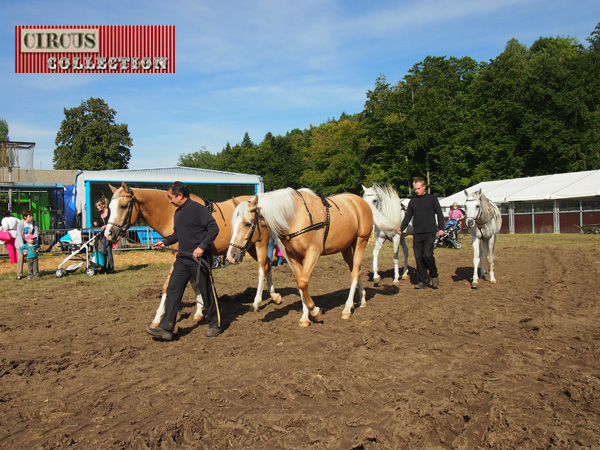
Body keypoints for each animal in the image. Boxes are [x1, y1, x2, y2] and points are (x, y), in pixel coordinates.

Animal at [103, 183, 282, 324]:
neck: (172, 213)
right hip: (246, 246)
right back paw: (274, 295)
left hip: (260, 244)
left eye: (123, 206)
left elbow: (168, 285)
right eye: (109, 208)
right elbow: (194, 283)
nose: (108, 233)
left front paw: (157, 318)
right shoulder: (188, 256)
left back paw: (257, 302)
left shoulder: (180, 256)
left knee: (262, 269)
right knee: (267, 264)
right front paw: (198, 312)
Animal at [226, 187, 372, 326]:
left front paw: (315, 311)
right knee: (356, 270)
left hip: (361, 241)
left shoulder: (313, 252)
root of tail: (360, 201)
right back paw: (362, 298)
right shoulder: (293, 257)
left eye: (247, 224)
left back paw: (347, 308)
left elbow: (302, 282)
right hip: (346, 247)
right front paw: (305, 318)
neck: (294, 217)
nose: (231, 255)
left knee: (354, 273)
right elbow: (300, 284)